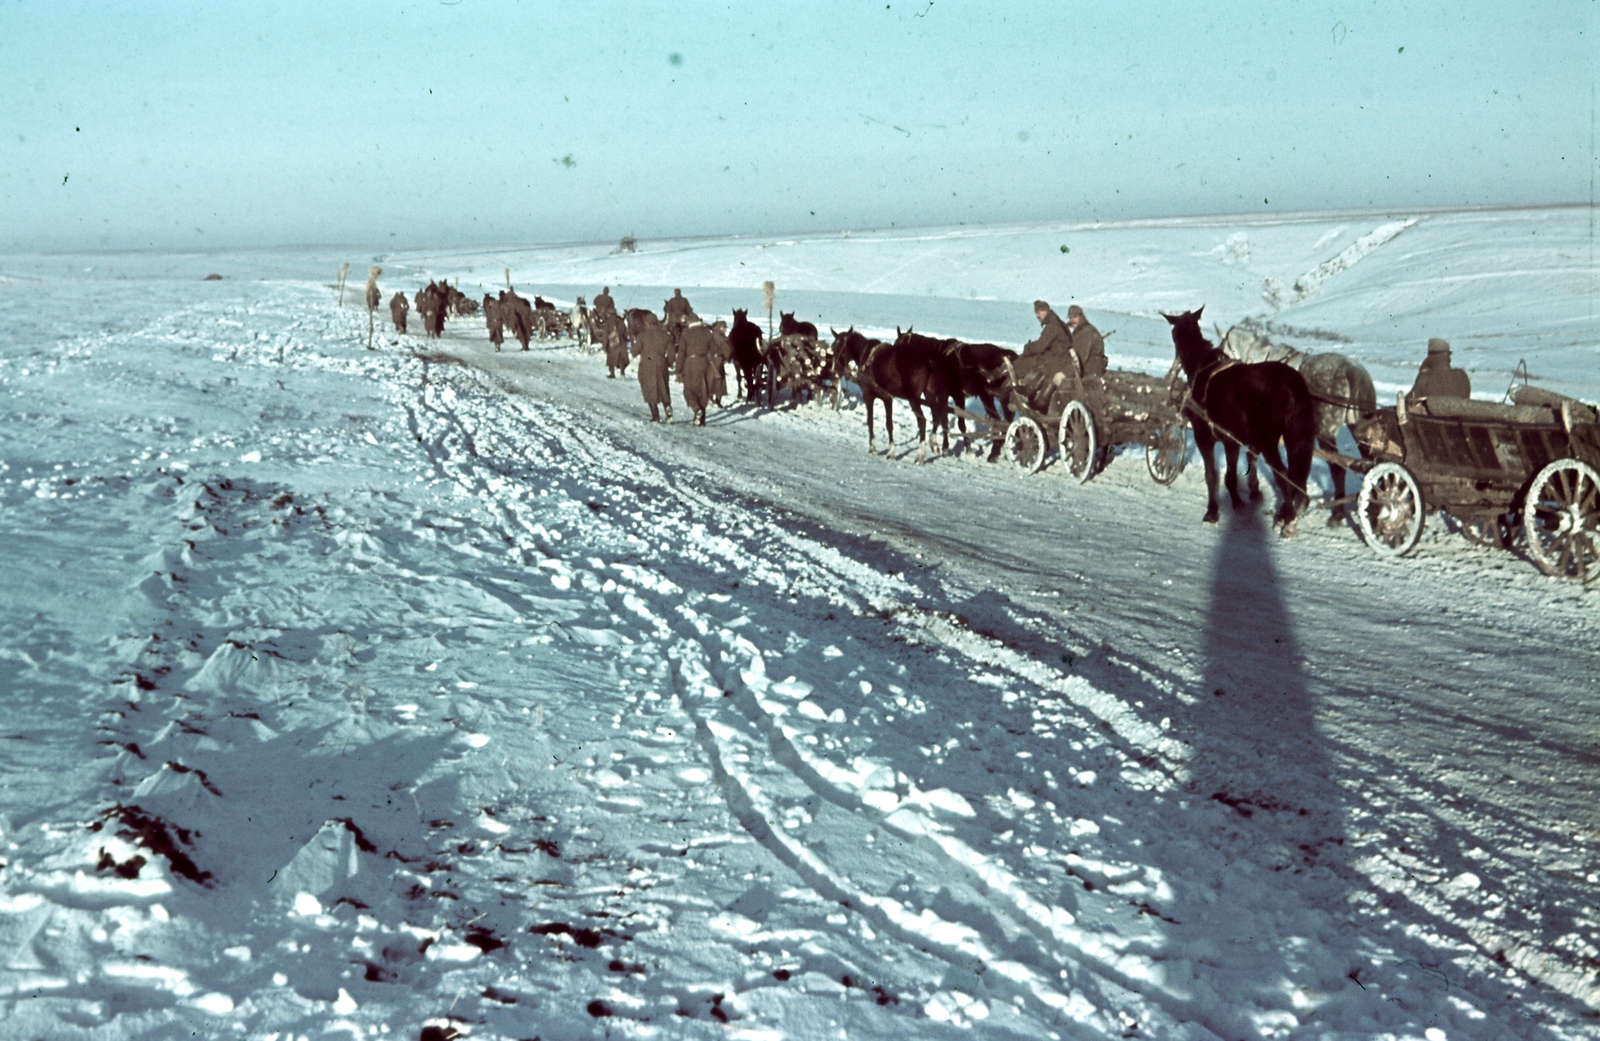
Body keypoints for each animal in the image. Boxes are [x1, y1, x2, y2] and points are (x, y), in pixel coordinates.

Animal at [1164, 307, 1312, 537]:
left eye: (1173, 333)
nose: (1173, 368)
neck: (1203, 368)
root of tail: (1292, 384)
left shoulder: (1205, 437)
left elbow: (1213, 475)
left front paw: (1213, 512)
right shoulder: (1235, 441)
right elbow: (1233, 474)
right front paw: (1241, 502)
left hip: (1269, 442)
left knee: (1284, 476)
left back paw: (1288, 519)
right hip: (1295, 438)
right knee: (1296, 476)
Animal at [1222, 321, 1376, 524]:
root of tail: (1351, 370)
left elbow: (1260, 458)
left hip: (1325, 433)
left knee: (1337, 468)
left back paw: (1337, 514)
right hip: (1362, 431)